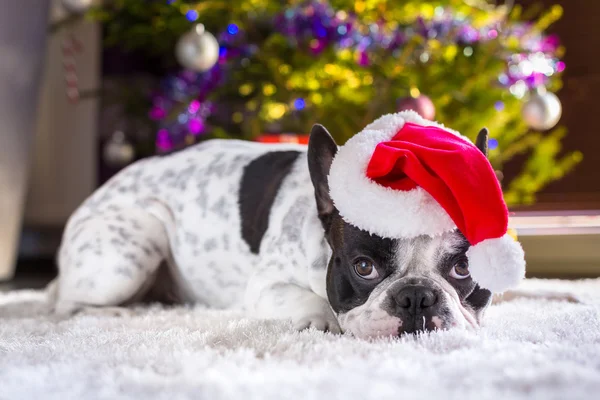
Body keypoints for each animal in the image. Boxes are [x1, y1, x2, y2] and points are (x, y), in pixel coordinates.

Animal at [51, 113, 576, 338]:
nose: (417, 298)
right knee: (65, 304)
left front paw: (557, 294)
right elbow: (309, 300)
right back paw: (123, 314)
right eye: (362, 267)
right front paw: (322, 319)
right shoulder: (265, 286)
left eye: (464, 269)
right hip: (135, 244)